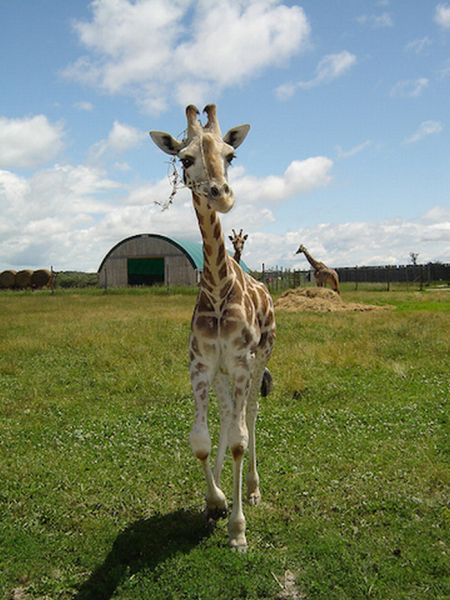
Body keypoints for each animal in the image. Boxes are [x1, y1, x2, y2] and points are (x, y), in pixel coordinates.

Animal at [150, 105, 274, 552]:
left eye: (230, 155)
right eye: (185, 159)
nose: (222, 195)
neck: (220, 292)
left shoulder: (240, 362)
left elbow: (239, 439)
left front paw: (237, 530)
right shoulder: (201, 365)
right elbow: (202, 441)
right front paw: (214, 501)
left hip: (260, 360)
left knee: (249, 416)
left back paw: (253, 490)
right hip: (222, 375)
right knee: (227, 416)